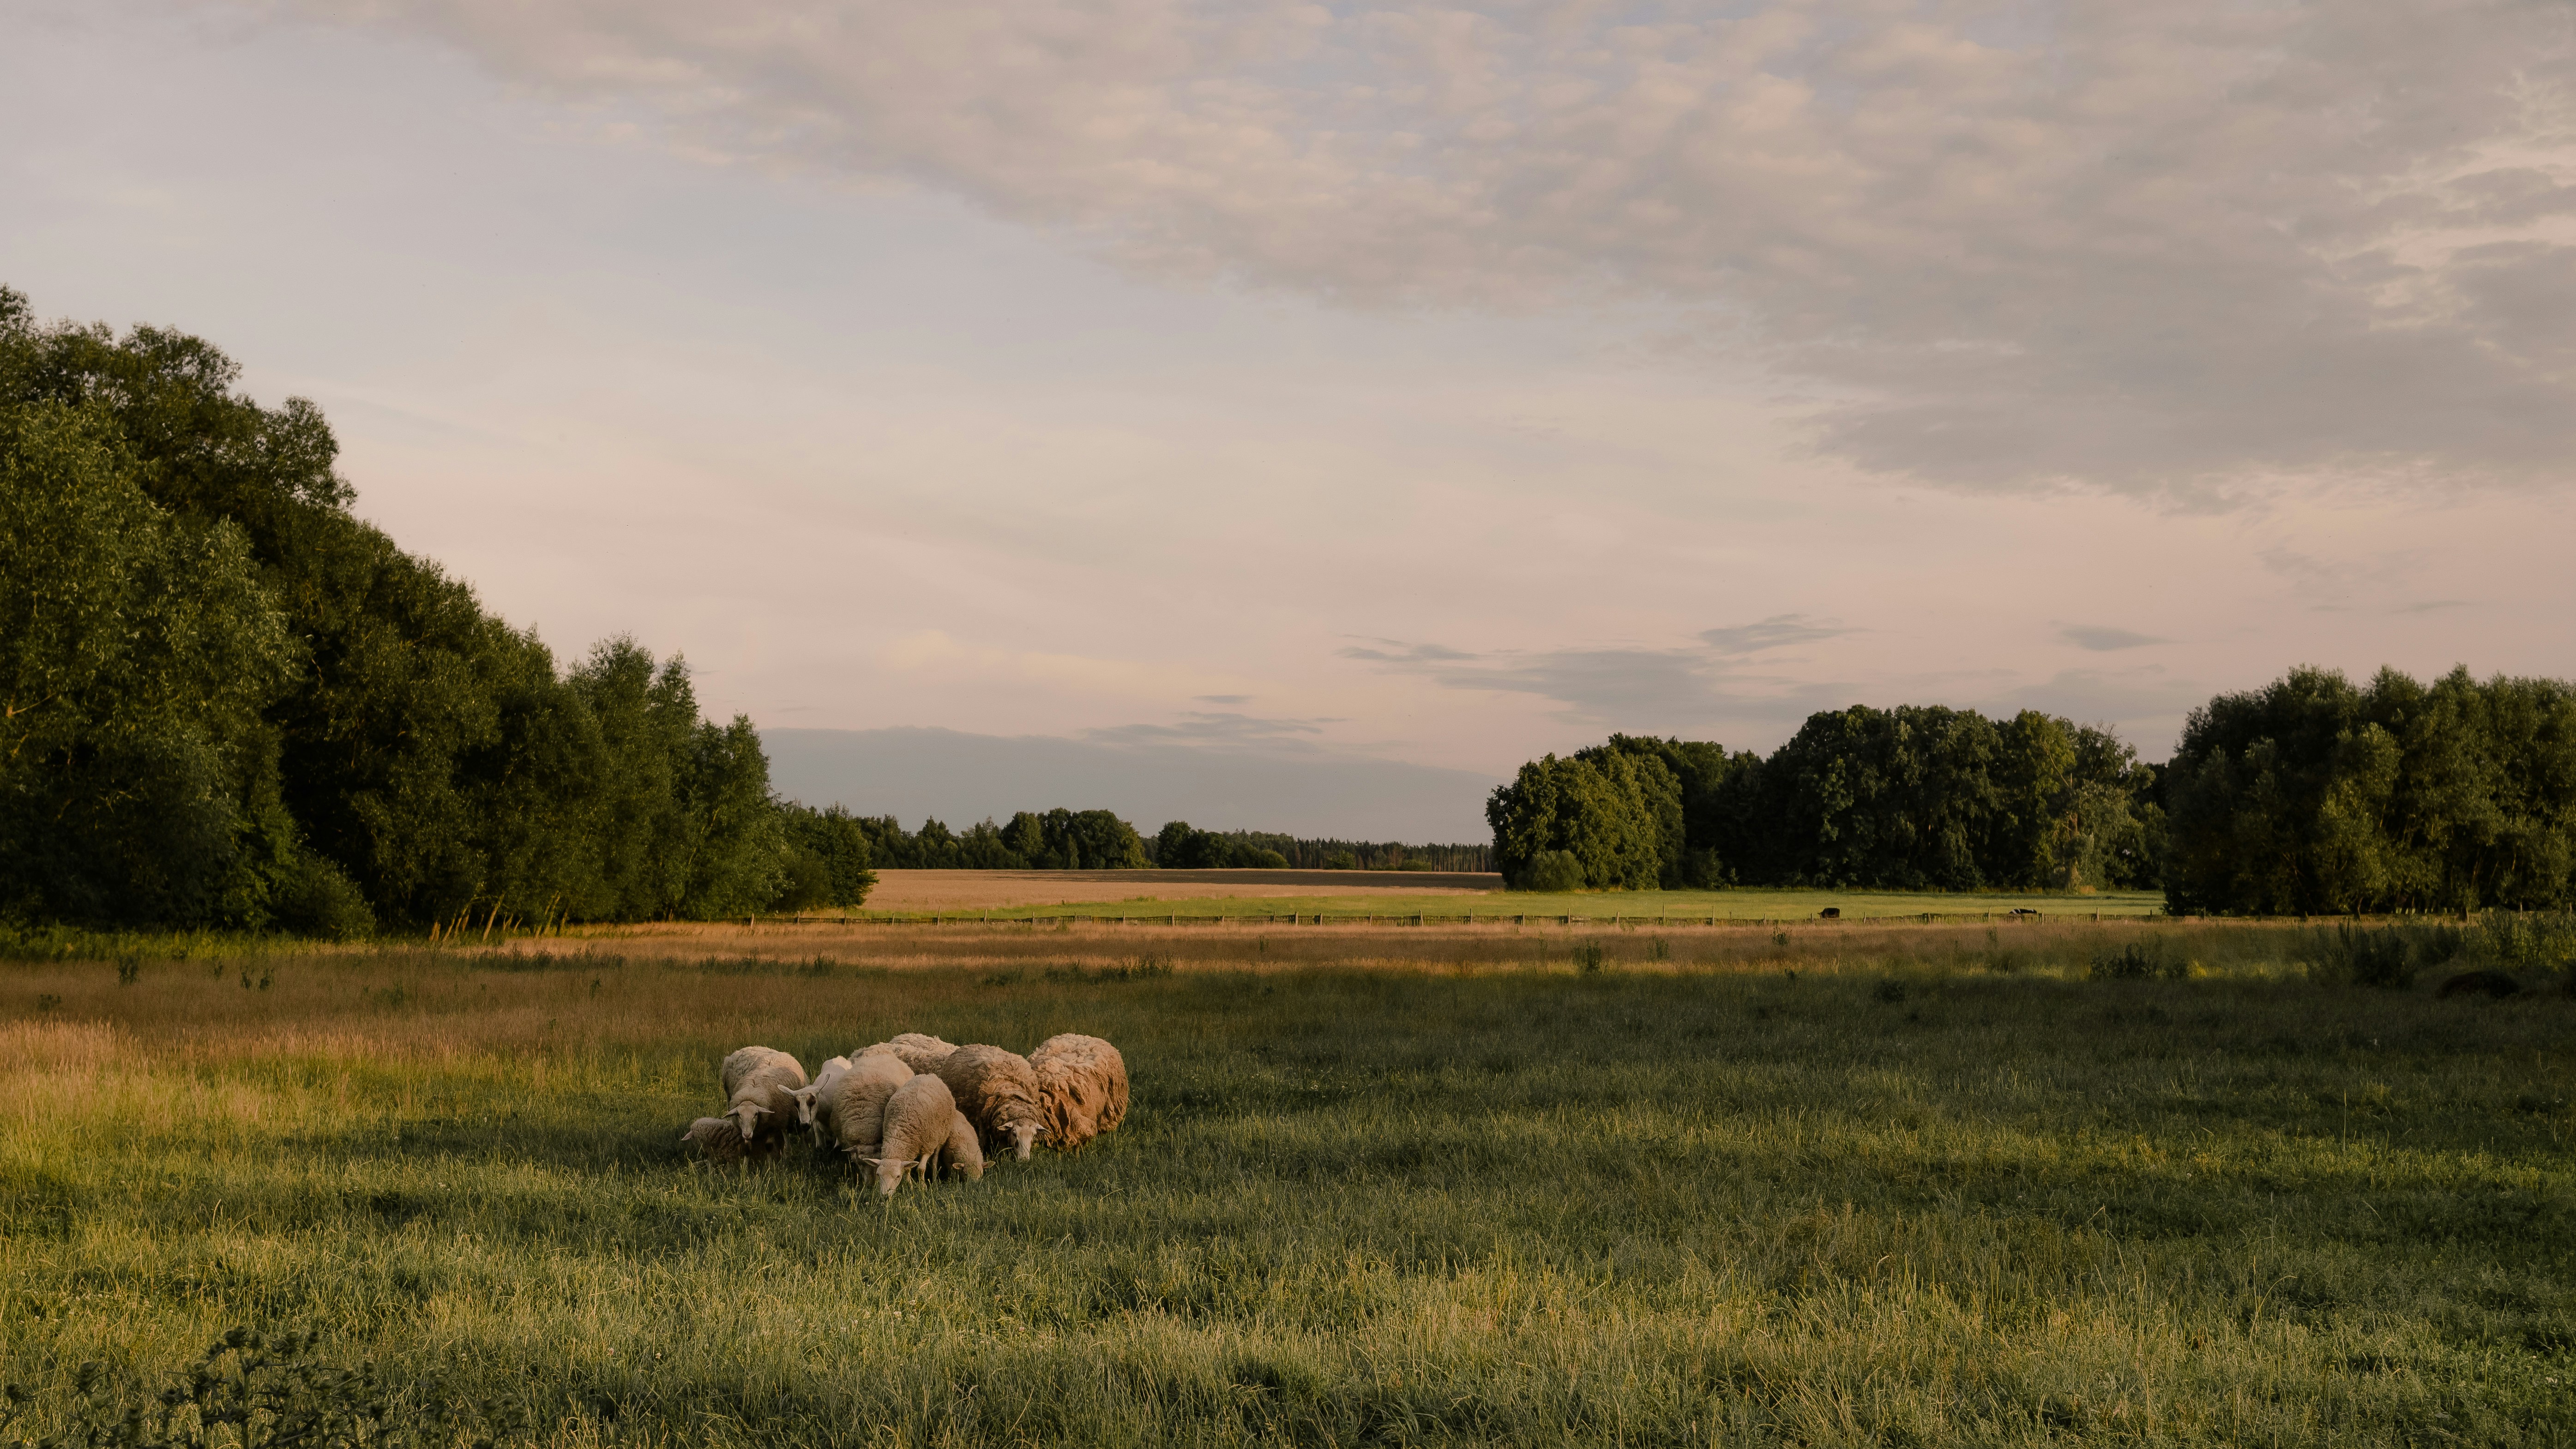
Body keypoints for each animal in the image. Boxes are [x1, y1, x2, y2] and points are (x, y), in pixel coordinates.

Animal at [863, 1073, 957, 1196]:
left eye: (898, 1176)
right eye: (879, 1175)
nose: (885, 1196)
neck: (899, 1133)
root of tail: (931, 1075)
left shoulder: (928, 1145)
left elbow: (921, 1169)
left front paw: (923, 1188)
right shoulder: (909, 1150)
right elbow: (908, 1169)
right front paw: (911, 1188)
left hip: (941, 1136)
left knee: (934, 1160)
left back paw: (935, 1181)